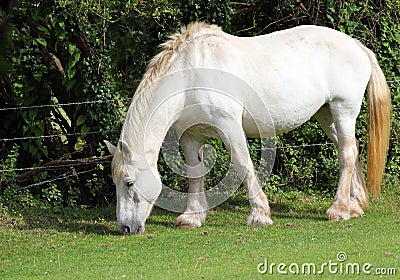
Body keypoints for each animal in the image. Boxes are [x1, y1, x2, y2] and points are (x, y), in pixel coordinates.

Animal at [104, 22, 390, 234]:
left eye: (129, 182)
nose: (125, 228)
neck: (190, 75)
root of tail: (356, 45)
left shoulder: (229, 127)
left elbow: (243, 165)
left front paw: (259, 214)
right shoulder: (191, 136)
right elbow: (195, 173)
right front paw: (192, 217)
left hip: (343, 109)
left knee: (346, 154)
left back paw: (339, 210)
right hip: (326, 114)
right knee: (350, 149)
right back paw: (354, 206)